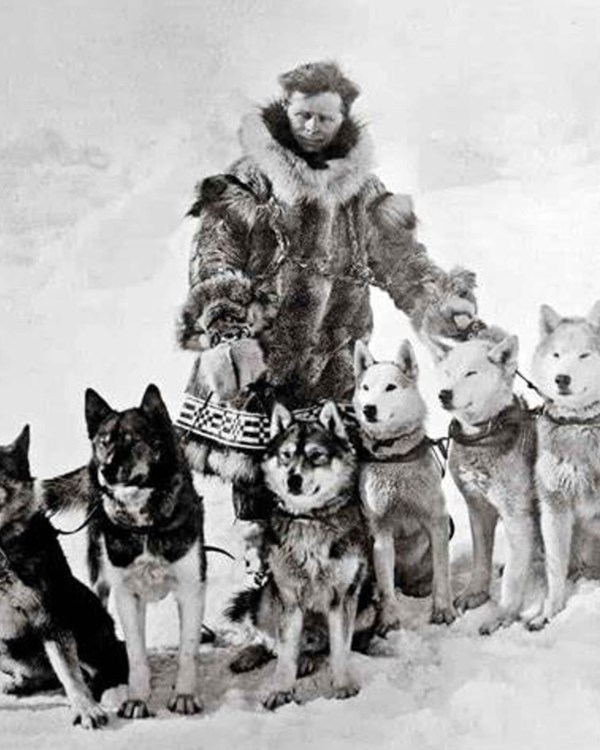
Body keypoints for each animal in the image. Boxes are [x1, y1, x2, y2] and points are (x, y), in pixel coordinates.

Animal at [352, 340, 454, 636]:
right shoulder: (381, 531)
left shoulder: (436, 520)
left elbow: (442, 574)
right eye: (366, 387)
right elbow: (386, 588)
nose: (369, 409)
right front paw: (389, 621)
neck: (394, 456)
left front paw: (443, 610)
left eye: (390, 387)